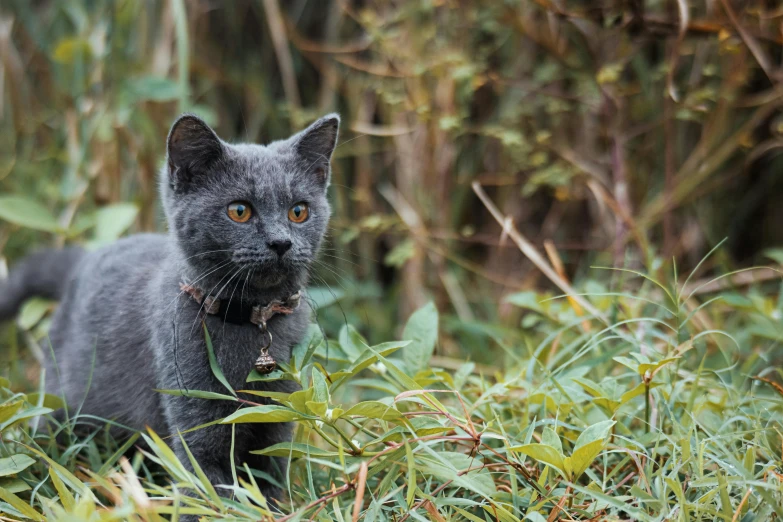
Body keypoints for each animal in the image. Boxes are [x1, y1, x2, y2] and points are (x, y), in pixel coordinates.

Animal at [0, 111, 338, 502]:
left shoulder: (279, 415)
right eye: (239, 210)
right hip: (61, 404)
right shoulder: (195, 409)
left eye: (298, 211)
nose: (281, 242)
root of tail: (82, 262)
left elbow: (271, 477)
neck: (252, 320)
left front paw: (278, 508)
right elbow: (208, 484)